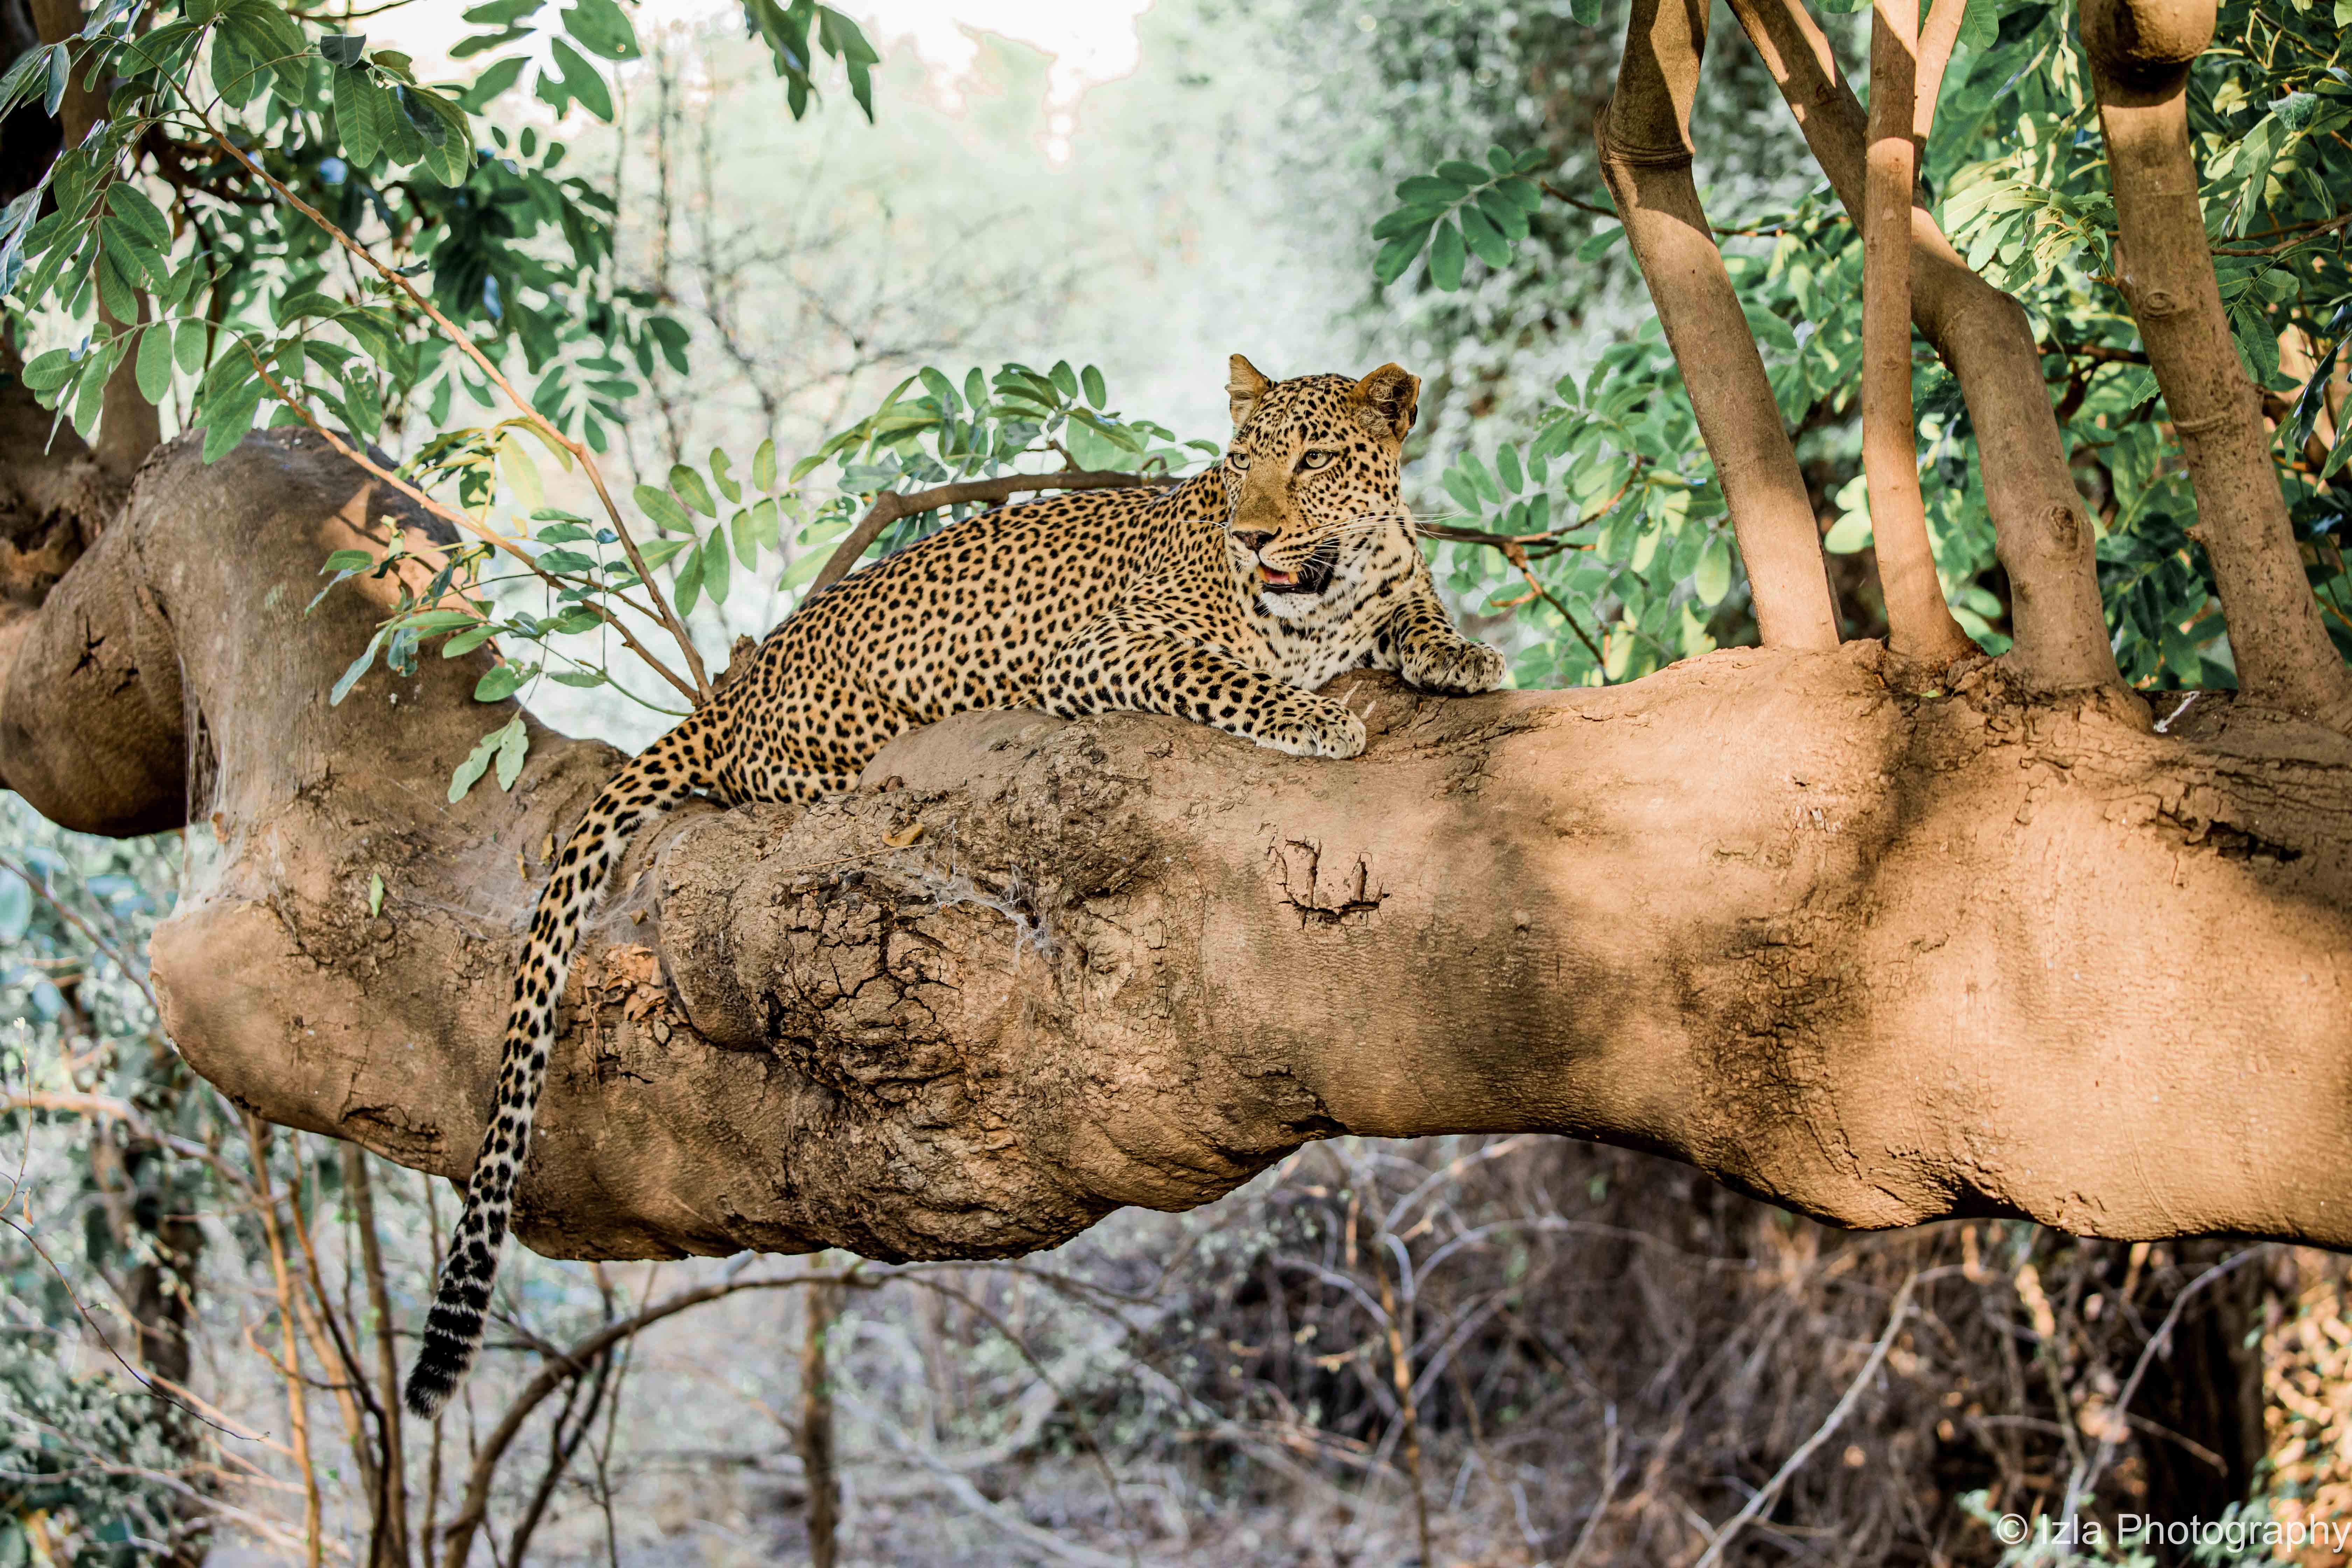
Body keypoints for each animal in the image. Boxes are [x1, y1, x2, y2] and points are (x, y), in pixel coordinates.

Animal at [404, 354, 1508, 1416]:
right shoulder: (1108, 651)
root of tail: (739, 688)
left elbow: (1416, 611)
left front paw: (1463, 652)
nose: (1254, 533)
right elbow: (1230, 678)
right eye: (1240, 462)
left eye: (1315, 459)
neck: (1327, 591)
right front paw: (1316, 716)